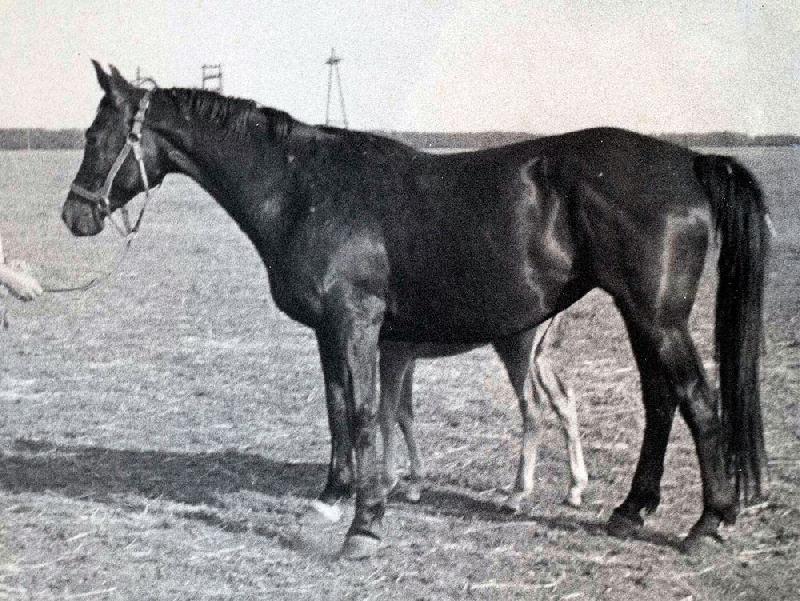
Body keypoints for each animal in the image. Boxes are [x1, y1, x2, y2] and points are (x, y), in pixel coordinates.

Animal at [378, 313, 588, 510]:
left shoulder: (395, 350)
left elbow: (387, 413)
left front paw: (386, 483)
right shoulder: (408, 357)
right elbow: (404, 414)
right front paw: (415, 483)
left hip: (519, 349)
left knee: (533, 407)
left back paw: (516, 494)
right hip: (537, 353)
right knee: (563, 398)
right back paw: (575, 489)